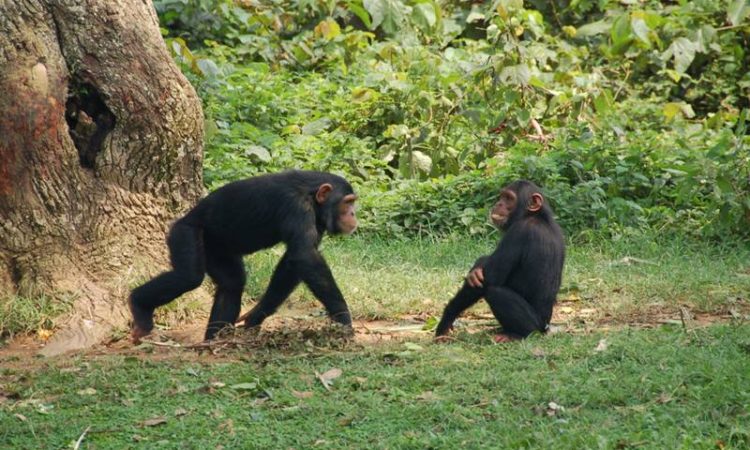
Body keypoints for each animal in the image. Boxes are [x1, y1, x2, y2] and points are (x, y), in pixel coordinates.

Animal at [130, 171, 362, 342]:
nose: (353, 214)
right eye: (347, 202)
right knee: (189, 277)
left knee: (232, 284)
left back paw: (215, 340)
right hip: (185, 232)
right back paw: (139, 306)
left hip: (216, 249)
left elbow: (291, 262)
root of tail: (182, 219)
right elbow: (305, 256)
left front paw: (256, 315)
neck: (312, 196)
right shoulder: (297, 208)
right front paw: (343, 318)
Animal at [438, 179, 568, 342]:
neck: (535, 216)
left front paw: (446, 319)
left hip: (536, 325)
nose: (498, 203)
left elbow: (490, 278)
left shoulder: (518, 233)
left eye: (509, 198)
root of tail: (547, 327)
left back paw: (517, 335)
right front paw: (477, 266)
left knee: (495, 292)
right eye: (502, 196)